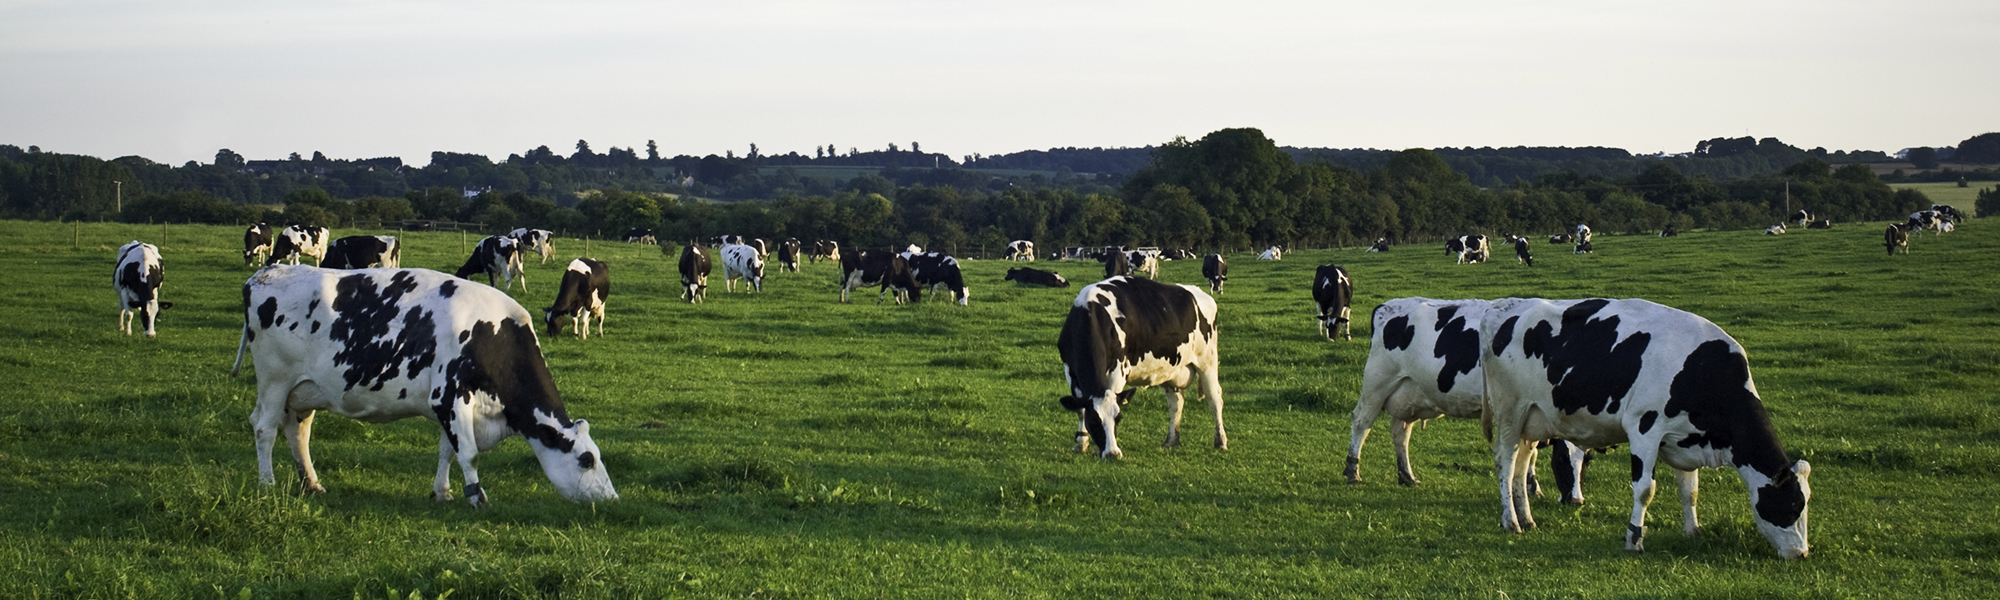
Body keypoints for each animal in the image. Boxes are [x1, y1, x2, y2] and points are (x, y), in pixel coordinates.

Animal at [230, 264, 616, 504]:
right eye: (586, 460)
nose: (612, 498)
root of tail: (266, 272)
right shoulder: (450, 397)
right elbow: (469, 454)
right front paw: (477, 497)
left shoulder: (452, 406)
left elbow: (448, 451)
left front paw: (442, 492)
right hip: (274, 381)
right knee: (264, 428)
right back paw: (267, 483)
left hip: (305, 391)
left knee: (297, 432)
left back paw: (311, 483)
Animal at [1056, 276, 1224, 460]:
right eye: (1094, 421)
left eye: (1118, 418)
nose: (1113, 454)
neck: (1091, 314)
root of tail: (1201, 294)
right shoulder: (1070, 372)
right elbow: (1080, 409)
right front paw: (1081, 443)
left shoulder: (1118, 371)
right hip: (1173, 370)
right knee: (1176, 402)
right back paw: (1171, 441)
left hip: (1207, 360)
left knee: (1214, 398)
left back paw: (1220, 442)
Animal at [1344, 298, 1592, 504]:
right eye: (1561, 459)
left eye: (1587, 460)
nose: (1575, 501)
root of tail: (1388, 305)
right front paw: (1531, 487)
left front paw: (1532, 487)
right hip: (1377, 382)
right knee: (1361, 422)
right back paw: (1352, 472)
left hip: (1409, 393)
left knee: (1401, 431)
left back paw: (1407, 476)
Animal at [1472, 300, 1816, 556]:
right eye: (1793, 504)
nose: (1801, 553)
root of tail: (1501, 308)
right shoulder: (1645, 429)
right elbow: (1644, 489)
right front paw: (1634, 538)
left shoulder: (1685, 439)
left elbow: (1690, 491)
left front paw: (1693, 531)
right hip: (1510, 414)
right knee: (1505, 465)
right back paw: (1511, 522)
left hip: (1532, 422)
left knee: (1520, 468)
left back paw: (1527, 519)